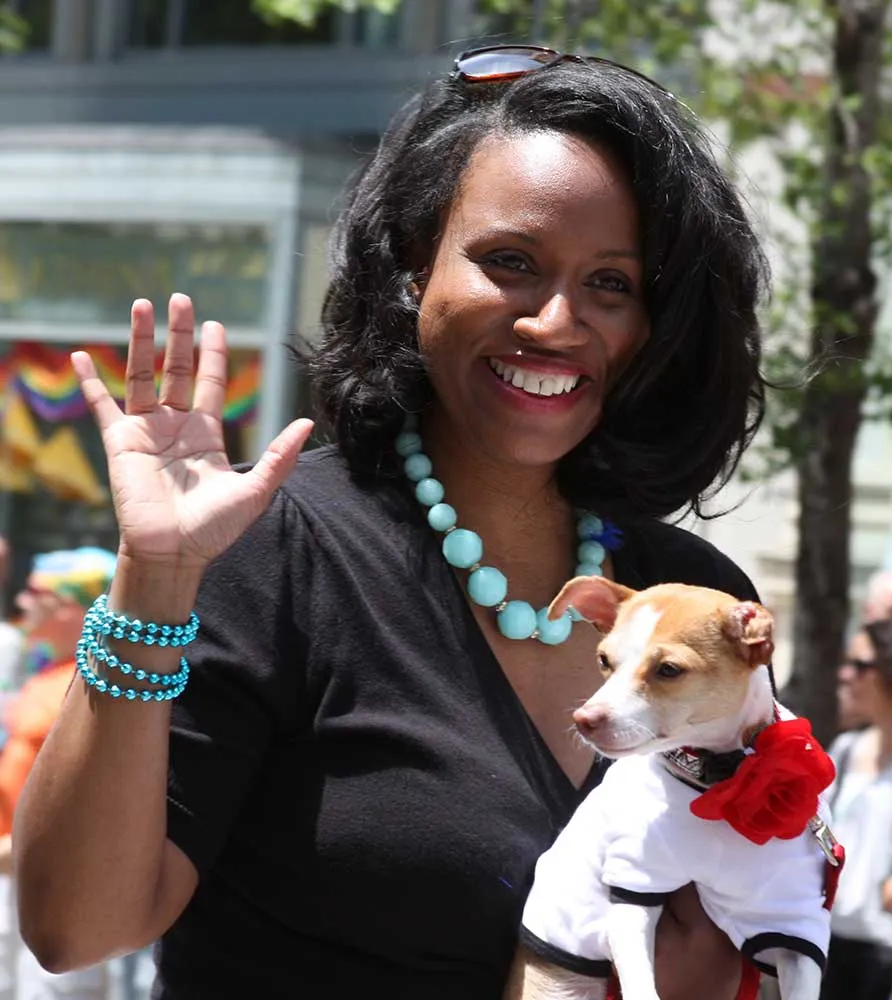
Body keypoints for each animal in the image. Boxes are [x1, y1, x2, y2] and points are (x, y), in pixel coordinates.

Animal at [505, 577, 842, 1000]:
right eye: (603, 661)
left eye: (668, 669)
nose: (584, 719)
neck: (722, 776)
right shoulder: (634, 885)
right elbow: (640, 983)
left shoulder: (789, 920)